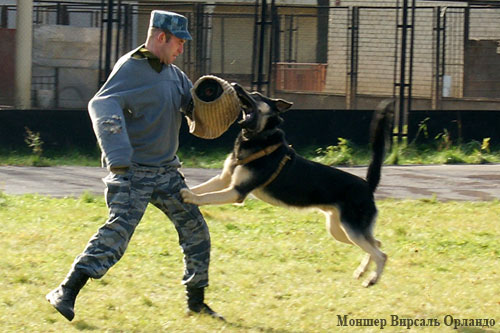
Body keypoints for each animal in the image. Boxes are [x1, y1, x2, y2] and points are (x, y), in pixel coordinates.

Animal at [181, 84, 394, 286]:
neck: (256, 137)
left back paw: (372, 279)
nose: (235, 85)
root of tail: (368, 186)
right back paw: (362, 271)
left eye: (256, 95)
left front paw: (190, 197)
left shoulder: (236, 191)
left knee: (382, 254)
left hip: (351, 230)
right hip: (340, 230)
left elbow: (207, 197)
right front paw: (188, 191)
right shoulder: (223, 179)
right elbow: (203, 188)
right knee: (377, 243)